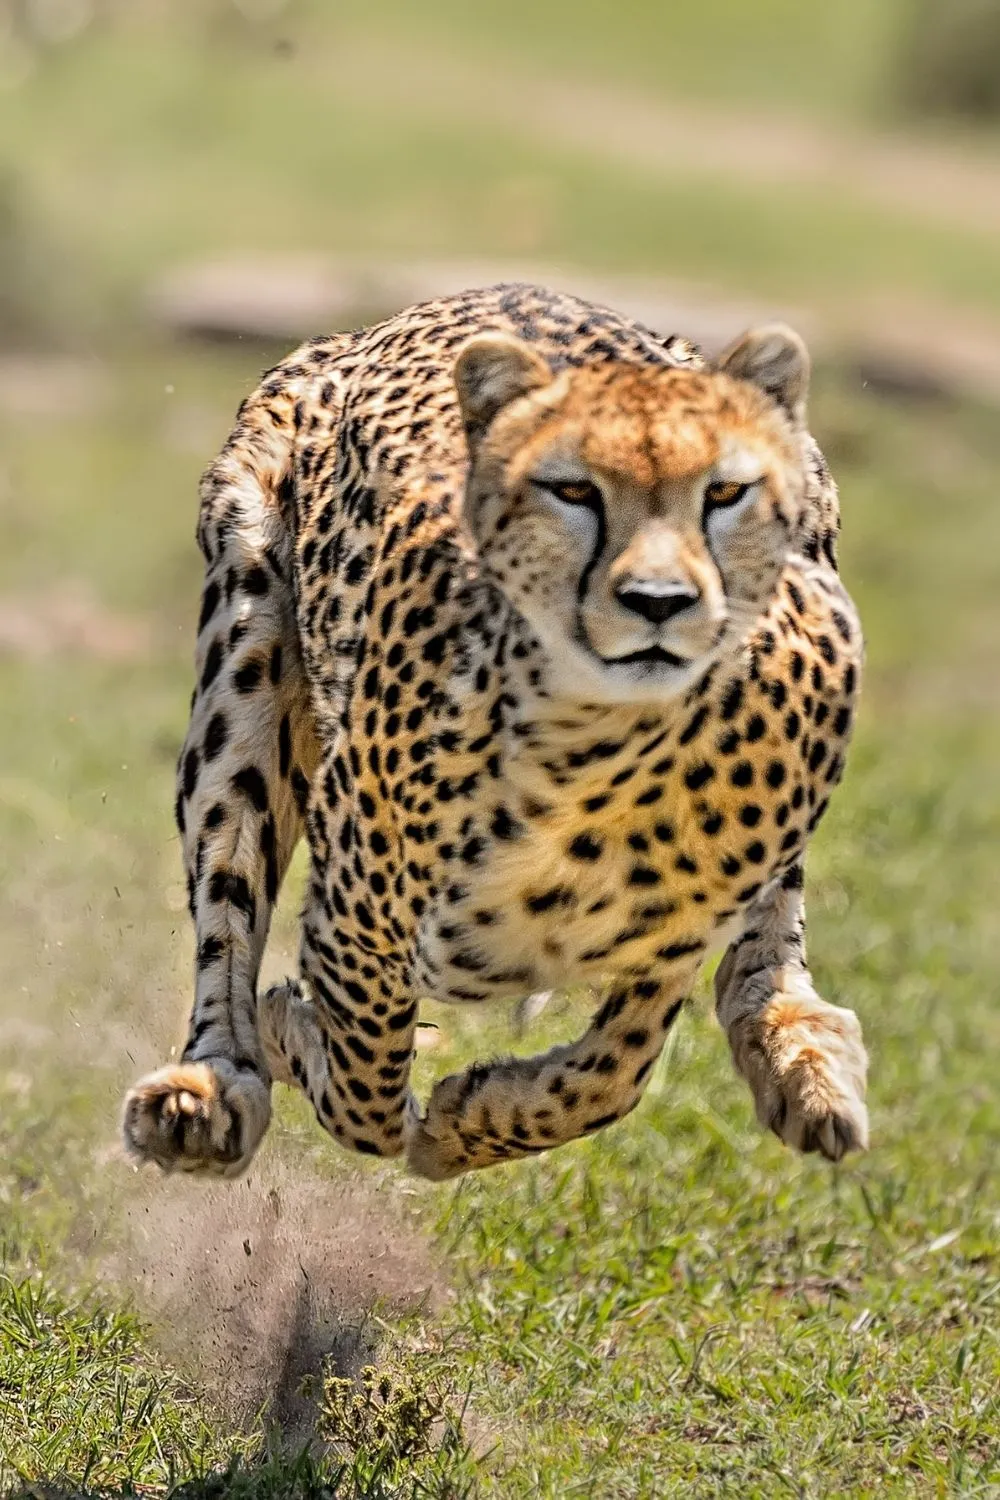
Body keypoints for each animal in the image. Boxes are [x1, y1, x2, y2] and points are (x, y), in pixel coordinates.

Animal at [122, 282, 868, 1183]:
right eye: (573, 492)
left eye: (724, 494)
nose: (659, 601)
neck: (604, 756)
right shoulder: (358, 914)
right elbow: (365, 1086)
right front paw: (299, 1038)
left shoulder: (675, 937)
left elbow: (613, 1072)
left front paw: (470, 1119)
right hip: (246, 649)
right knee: (227, 894)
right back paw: (210, 1086)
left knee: (769, 940)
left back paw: (802, 1057)